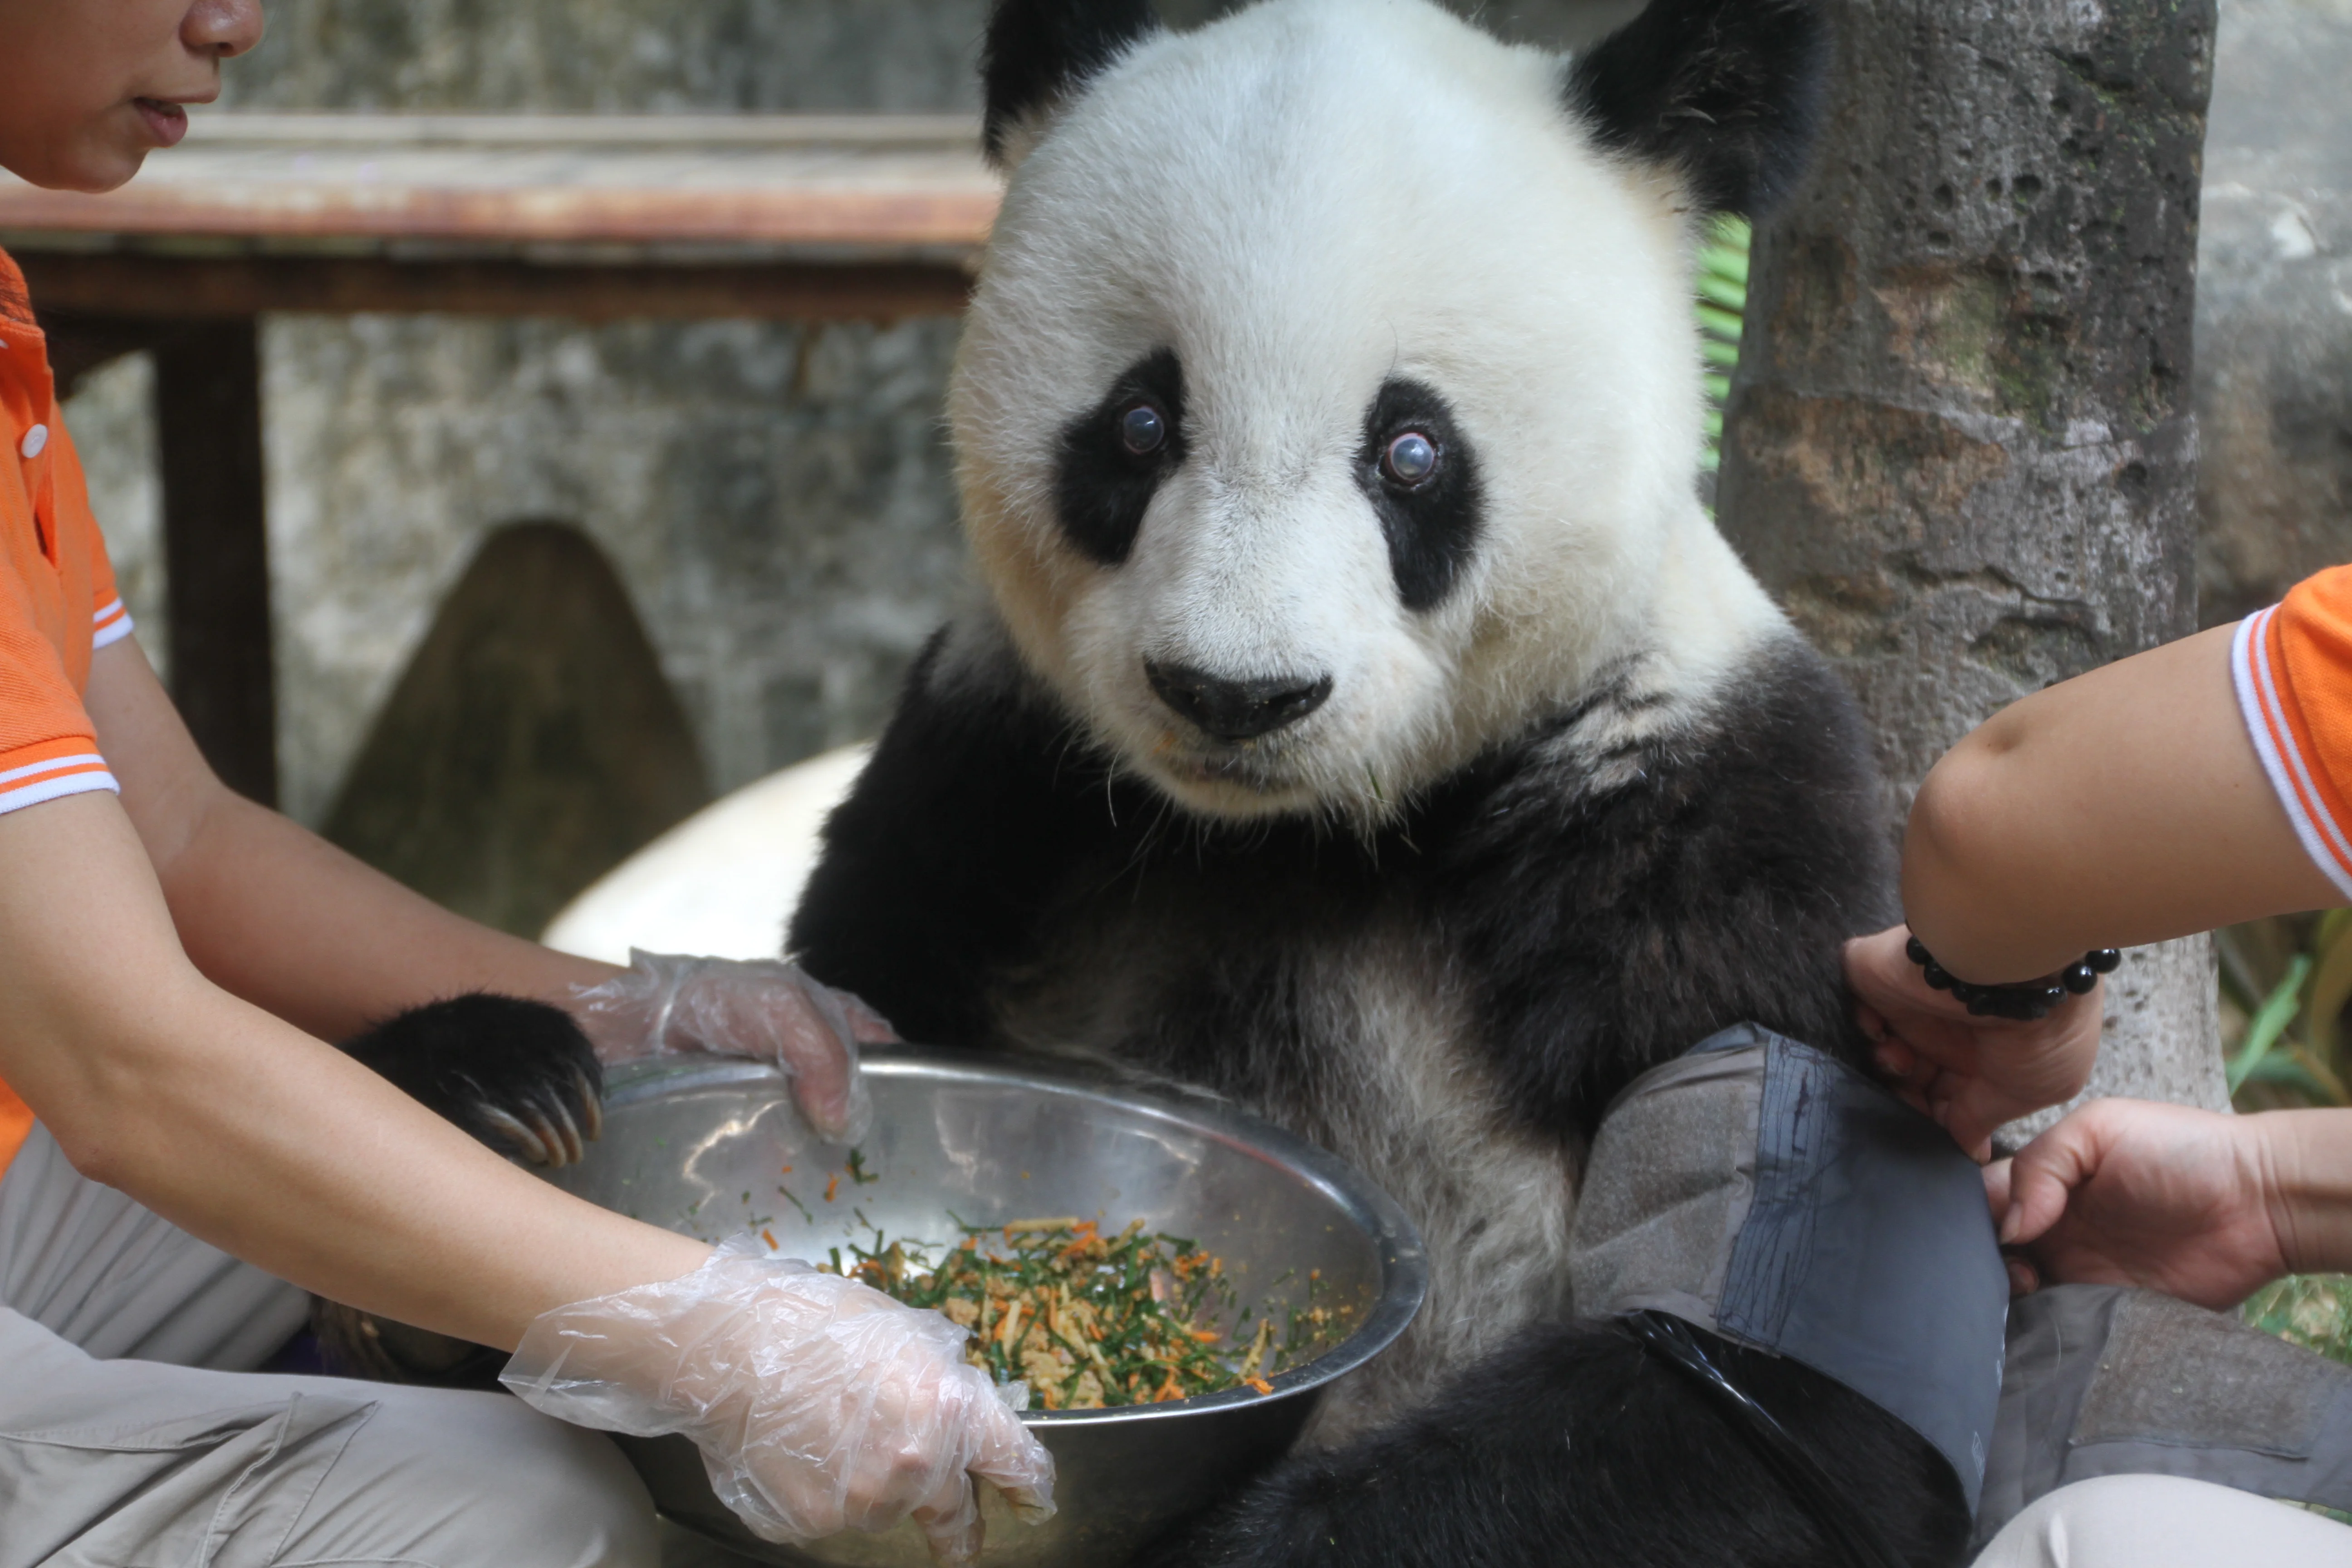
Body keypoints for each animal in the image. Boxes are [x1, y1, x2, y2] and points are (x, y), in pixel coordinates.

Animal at [780, 0, 1971, 1562]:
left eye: (1410, 451)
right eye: (1140, 424)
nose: (1237, 694)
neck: (1300, 831)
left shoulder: (1704, 816)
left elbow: (1794, 1408)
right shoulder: (1005, 763)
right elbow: (858, 967)